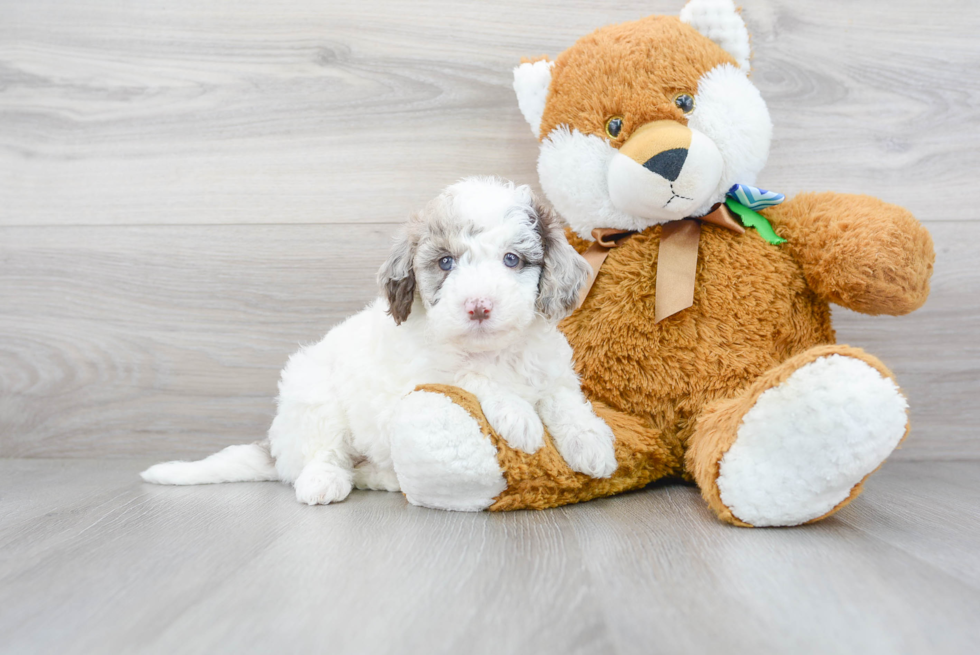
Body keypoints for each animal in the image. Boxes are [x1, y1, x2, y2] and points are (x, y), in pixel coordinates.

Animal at [142, 177, 616, 504]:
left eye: (512, 260)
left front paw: (591, 443)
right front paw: (519, 418)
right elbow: (470, 377)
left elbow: (564, 400)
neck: (492, 349)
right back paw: (324, 482)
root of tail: (277, 446)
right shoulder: (419, 376)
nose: (478, 306)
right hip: (313, 398)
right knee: (318, 457)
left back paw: (385, 477)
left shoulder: (552, 370)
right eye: (446, 262)